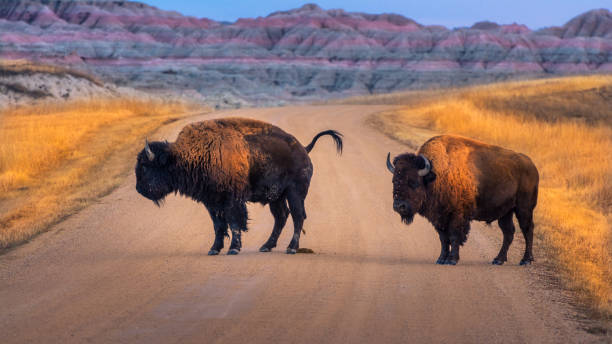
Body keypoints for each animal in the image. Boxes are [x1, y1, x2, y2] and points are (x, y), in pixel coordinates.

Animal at [136, 117, 342, 254]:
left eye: (145, 166)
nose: (139, 189)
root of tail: (303, 149)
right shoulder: (211, 202)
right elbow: (218, 225)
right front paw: (214, 249)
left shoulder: (231, 200)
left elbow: (234, 223)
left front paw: (233, 249)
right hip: (276, 197)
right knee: (281, 217)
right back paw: (266, 246)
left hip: (295, 193)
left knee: (298, 216)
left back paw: (291, 248)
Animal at [388, 134, 540, 266]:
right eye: (394, 181)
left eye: (414, 182)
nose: (399, 206)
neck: (436, 174)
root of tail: (532, 166)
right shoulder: (439, 217)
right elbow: (443, 239)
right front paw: (441, 259)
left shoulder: (457, 216)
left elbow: (454, 236)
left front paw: (452, 260)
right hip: (505, 212)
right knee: (508, 232)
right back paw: (498, 259)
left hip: (524, 209)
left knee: (527, 229)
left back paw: (526, 260)